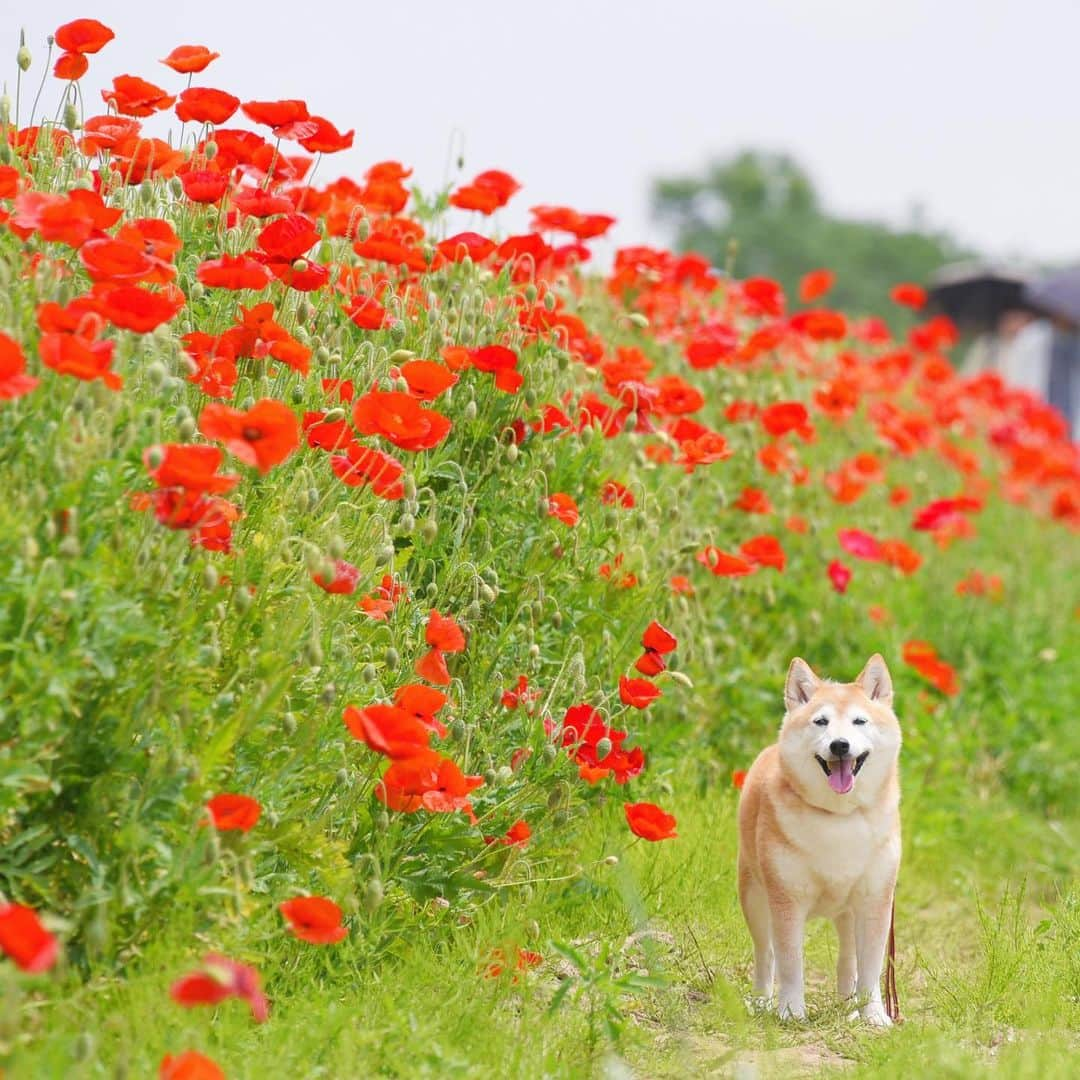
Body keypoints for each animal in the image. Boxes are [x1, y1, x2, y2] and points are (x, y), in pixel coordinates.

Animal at [734, 652, 902, 1023]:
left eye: (859, 721)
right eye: (821, 722)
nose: (840, 745)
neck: (839, 818)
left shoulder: (875, 901)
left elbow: (870, 969)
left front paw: (873, 1016)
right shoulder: (787, 900)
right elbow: (790, 963)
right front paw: (791, 1012)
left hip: (848, 913)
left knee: (847, 961)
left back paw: (848, 1008)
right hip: (754, 898)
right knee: (765, 954)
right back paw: (762, 1000)